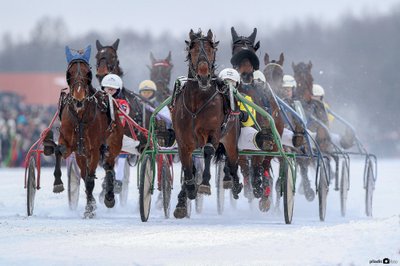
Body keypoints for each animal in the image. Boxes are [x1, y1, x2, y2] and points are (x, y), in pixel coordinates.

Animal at [52, 45, 123, 217]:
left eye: (87, 73)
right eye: (69, 73)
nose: (78, 98)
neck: (80, 115)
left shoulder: (94, 149)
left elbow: (91, 180)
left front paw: (90, 208)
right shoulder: (70, 144)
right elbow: (58, 150)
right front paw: (57, 182)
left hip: (112, 145)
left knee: (109, 167)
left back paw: (109, 196)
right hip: (81, 154)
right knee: (86, 173)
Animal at [169, 29, 241, 218]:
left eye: (211, 50)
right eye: (192, 50)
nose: (203, 76)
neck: (197, 103)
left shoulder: (213, 133)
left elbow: (208, 151)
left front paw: (204, 184)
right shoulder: (183, 141)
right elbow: (187, 166)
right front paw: (189, 189)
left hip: (230, 138)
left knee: (233, 161)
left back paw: (235, 183)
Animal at [231, 27, 284, 212]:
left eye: (252, 50)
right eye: (236, 51)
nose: (246, 73)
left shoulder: (263, 140)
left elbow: (257, 165)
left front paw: (259, 189)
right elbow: (243, 167)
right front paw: (243, 187)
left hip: (274, 142)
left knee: (265, 165)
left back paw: (264, 194)